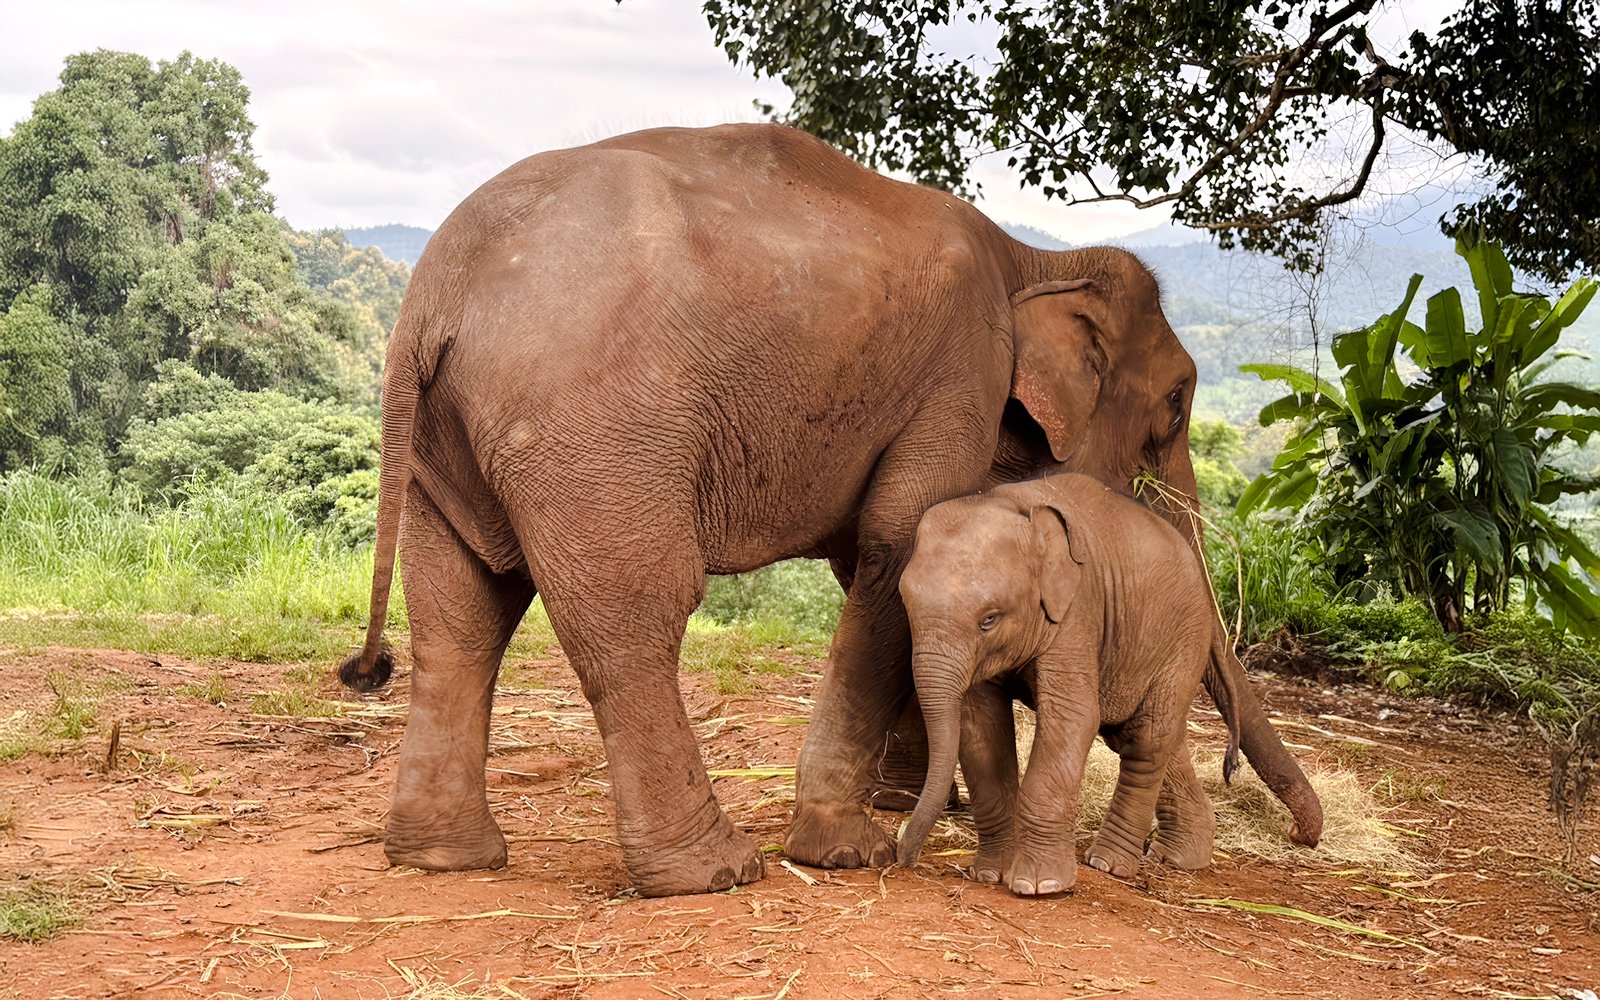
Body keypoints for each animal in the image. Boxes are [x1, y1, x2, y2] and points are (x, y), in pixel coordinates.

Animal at [896, 473, 1226, 895]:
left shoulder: (1079, 608)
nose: (902, 858)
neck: (1009, 503)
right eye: (906, 607)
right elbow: (978, 725)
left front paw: (1039, 885)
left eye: (989, 619)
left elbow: (1072, 717)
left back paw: (1109, 864)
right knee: (1150, 735)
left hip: (1185, 637)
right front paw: (990, 874)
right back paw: (1180, 856)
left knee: (1146, 739)